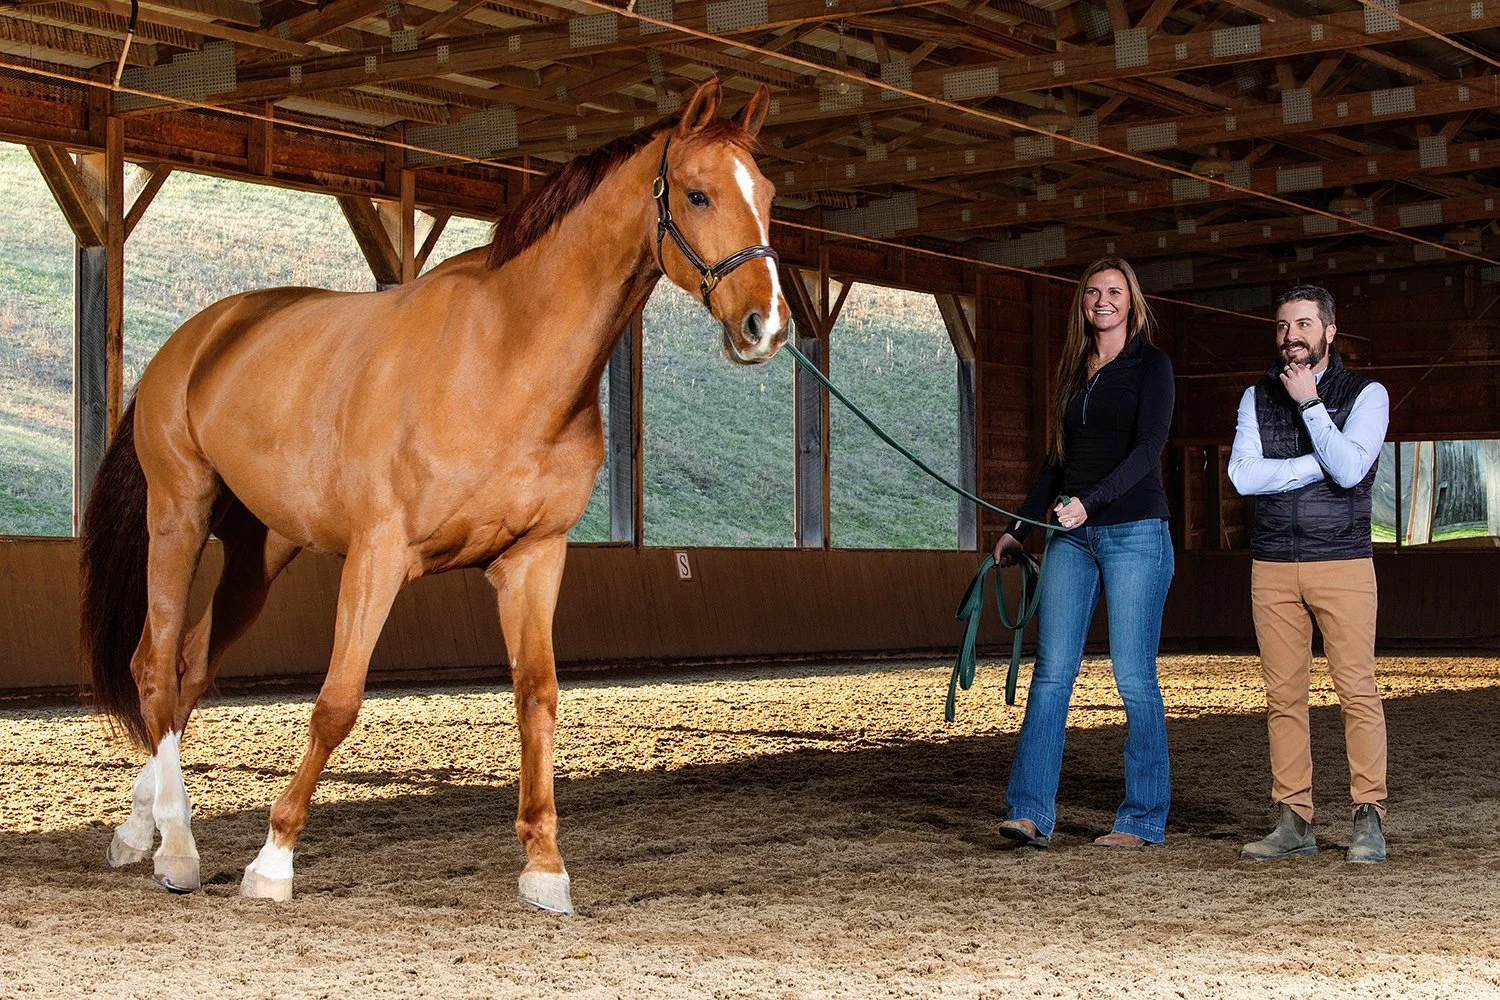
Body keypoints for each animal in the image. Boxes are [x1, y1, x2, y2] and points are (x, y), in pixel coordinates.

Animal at [79, 78, 788, 915]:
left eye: (767, 195)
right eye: (698, 193)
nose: (767, 325)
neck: (501, 356)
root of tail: (199, 338)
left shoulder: (532, 561)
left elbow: (536, 699)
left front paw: (545, 867)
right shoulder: (378, 557)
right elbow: (337, 702)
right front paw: (273, 861)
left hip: (260, 555)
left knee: (188, 668)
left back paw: (140, 832)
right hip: (178, 517)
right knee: (155, 667)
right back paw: (178, 851)